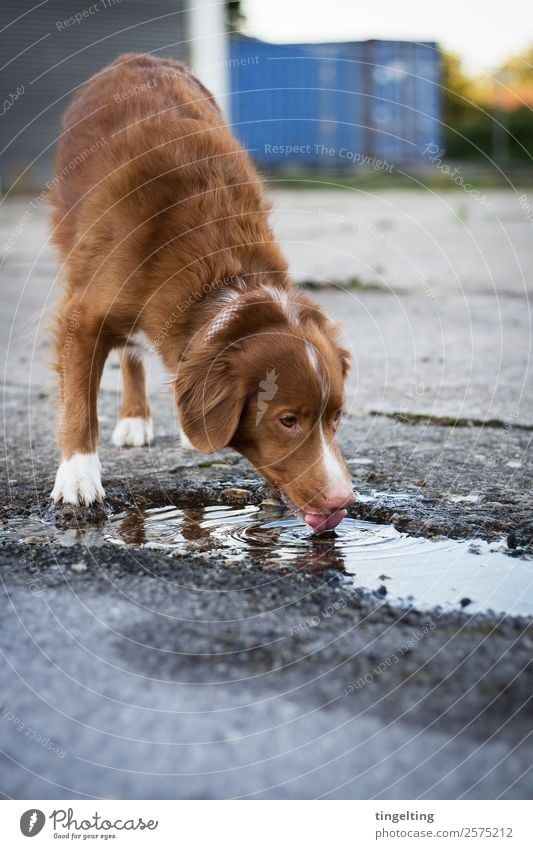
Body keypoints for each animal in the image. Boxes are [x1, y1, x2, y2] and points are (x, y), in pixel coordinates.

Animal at [50, 53, 354, 528]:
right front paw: (78, 479)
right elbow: (80, 402)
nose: (343, 502)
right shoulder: (82, 316)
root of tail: (133, 59)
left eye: (336, 418)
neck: (223, 281)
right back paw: (134, 420)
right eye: (287, 420)